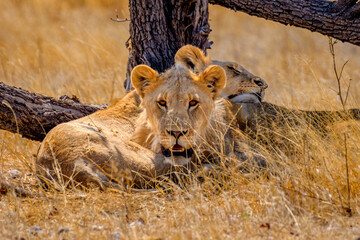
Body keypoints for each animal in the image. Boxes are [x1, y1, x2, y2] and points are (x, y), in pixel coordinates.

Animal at [36, 59, 250, 189]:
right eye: (162, 102)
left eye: (193, 102)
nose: (177, 133)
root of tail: (73, 166)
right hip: (140, 157)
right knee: (179, 172)